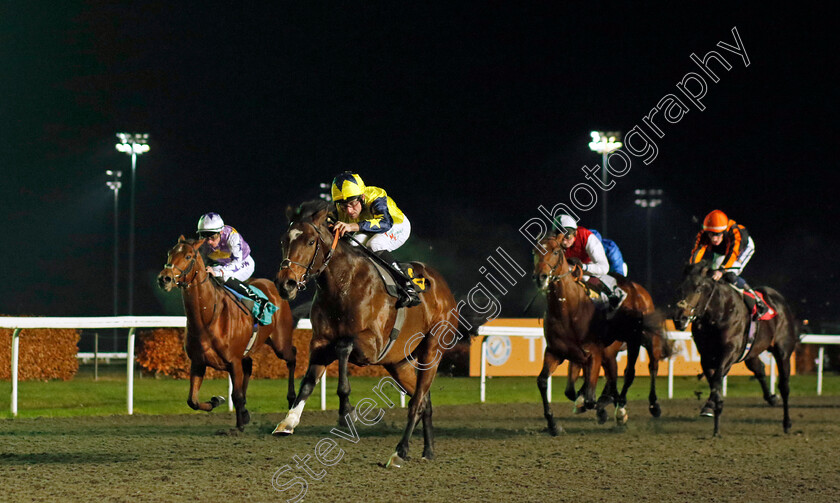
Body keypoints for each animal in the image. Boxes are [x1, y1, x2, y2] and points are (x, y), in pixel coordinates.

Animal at [158, 238, 298, 432]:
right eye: (169, 253)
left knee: (292, 356)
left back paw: (291, 399)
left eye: (188, 256)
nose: (164, 278)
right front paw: (217, 400)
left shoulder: (233, 361)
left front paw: (238, 427)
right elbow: (192, 400)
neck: (208, 318)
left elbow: (236, 395)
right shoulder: (198, 362)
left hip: (280, 342)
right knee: (249, 365)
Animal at [272, 201, 460, 468]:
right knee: (424, 400)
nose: (285, 284)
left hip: (432, 351)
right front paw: (288, 421)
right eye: (283, 241)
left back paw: (399, 451)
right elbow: (308, 382)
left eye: (310, 241)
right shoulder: (320, 343)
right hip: (398, 363)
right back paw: (428, 450)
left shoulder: (371, 345)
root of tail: (443, 286)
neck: (343, 285)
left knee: (416, 402)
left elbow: (343, 347)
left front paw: (346, 411)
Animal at [536, 232, 672, 434]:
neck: (568, 310)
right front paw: (553, 424)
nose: (541, 277)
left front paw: (602, 407)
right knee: (613, 376)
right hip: (612, 351)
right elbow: (546, 382)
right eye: (534, 251)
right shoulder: (557, 352)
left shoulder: (594, 352)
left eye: (555, 251)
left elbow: (592, 395)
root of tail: (638, 290)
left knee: (642, 369)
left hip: (643, 340)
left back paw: (646, 405)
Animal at [672, 262, 796, 436]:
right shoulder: (706, 356)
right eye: (680, 288)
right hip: (751, 352)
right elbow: (714, 380)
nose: (679, 319)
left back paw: (786, 423)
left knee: (784, 386)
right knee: (759, 369)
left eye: (698, 289)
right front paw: (711, 407)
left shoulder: (730, 351)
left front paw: (714, 414)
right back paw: (771, 398)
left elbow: (717, 377)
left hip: (783, 351)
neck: (719, 314)